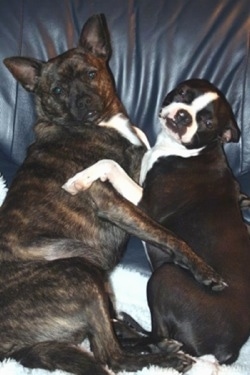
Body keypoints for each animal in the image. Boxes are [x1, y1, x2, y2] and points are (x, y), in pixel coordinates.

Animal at [0, 13, 225, 374]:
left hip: (94, 284)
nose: (84, 103)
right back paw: (166, 357)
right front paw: (205, 272)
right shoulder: (115, 201)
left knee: (113, 330)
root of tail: (13, 348)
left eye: (91, 74)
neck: (99, 125)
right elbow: (168, 235)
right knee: (110, 356)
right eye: (58, 90)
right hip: (78, 274)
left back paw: (154, 340)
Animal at [64, 79, 250, 364]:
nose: (184, 116)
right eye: (183, 93)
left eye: (208, 123)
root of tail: (229, 351)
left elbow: (109, 163)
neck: (191, 152)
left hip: (165, 275)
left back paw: (127, 331)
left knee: (159, 336)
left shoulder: (146, 206)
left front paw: (80, 179)